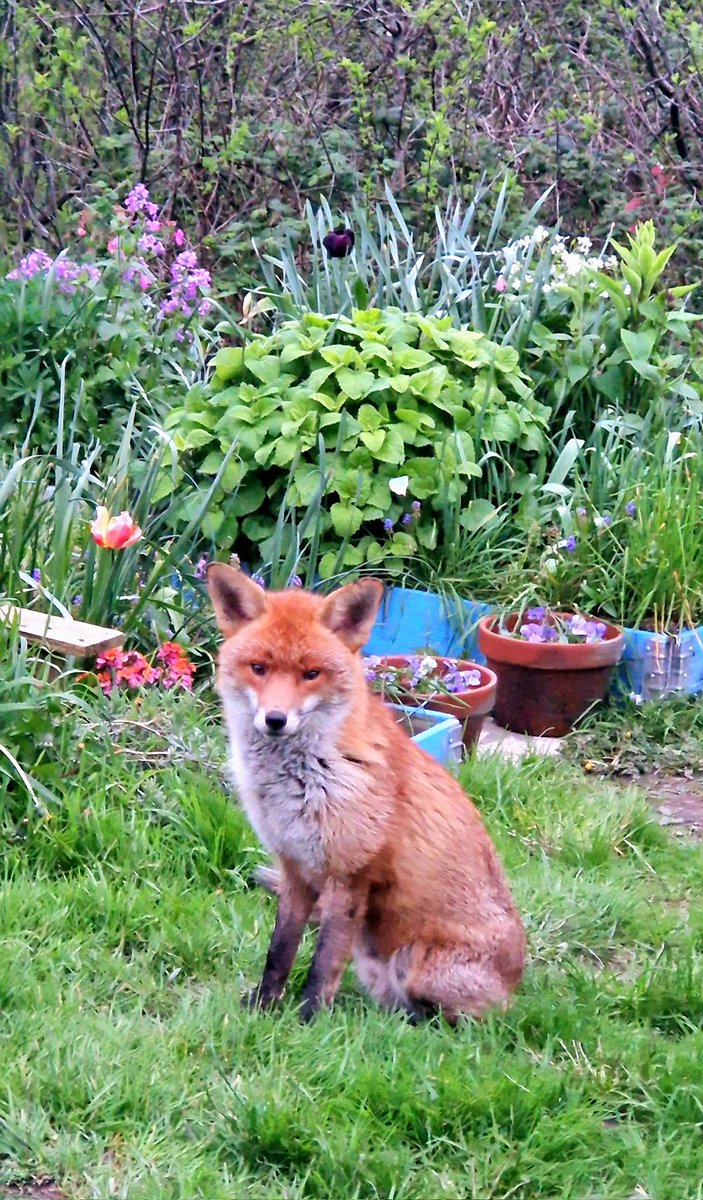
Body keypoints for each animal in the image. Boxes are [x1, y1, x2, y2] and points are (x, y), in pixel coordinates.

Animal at [205, 561, 523, 1022]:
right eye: (259, 668)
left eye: (311, 674)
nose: (275, 719)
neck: (305, 780)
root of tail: (517, 986)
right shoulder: (294, 869)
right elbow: (279, 951)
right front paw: (264, 1007)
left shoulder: (351, 876)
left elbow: (323, 964)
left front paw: (308, 1020)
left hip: (417, 967)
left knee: (457, 1022)